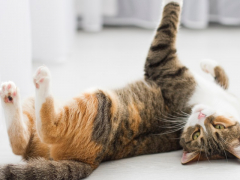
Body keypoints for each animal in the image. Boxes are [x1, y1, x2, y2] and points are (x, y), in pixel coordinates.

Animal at [0, 0, 240, 179]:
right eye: (215, 126)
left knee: (47, 130)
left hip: (100, 101)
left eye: (201, 133)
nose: (201, 115)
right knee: (21, 144)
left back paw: (41, 79)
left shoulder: (163, 64)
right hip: (35, 108)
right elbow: (223, 77)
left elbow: (167, 25)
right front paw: (208, 64)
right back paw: (10, 95)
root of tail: (88, 161)